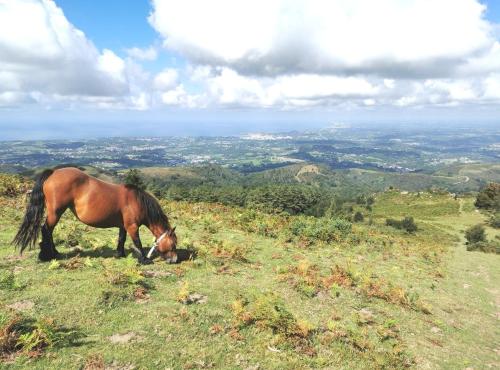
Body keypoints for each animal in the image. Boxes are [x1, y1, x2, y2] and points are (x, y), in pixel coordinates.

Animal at [12, 166, 178, 264]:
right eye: (173, 244)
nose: (175, 260)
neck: (136, 201)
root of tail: (53, 172)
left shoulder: (123, 226)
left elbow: (121, 239)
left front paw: (120, 254)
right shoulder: (132, 226)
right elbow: (138, 242)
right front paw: (144, 259)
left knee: (49, 231)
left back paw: (54, 252)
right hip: (55, 212)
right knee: (46, 230)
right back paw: (48, 255)